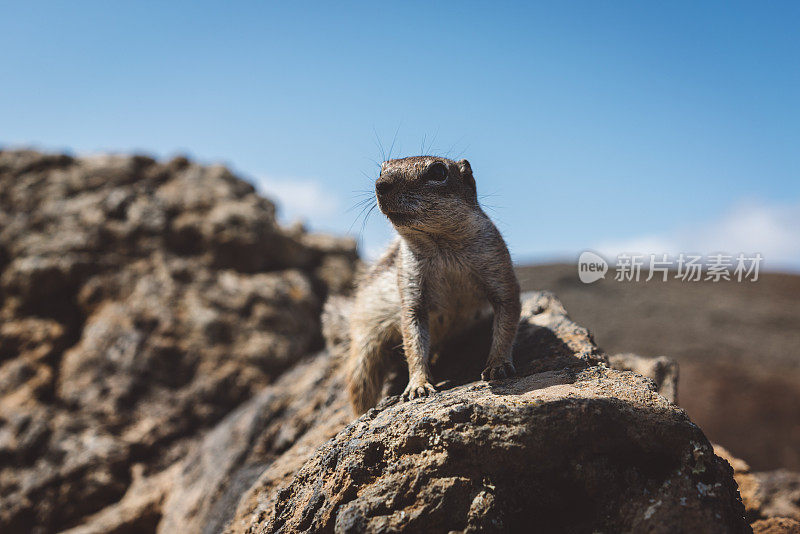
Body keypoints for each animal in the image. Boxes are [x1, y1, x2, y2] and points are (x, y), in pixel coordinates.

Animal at [322, 155, 520, 414]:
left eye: (438, 171)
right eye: (381, 170)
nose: (380, 184)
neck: (440, 244)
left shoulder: (497, 262)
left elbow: (506, 317)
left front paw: (498, 364)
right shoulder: (410, 286)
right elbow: (413, 339)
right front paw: (418, 385)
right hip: (364, 347)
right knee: (361, 385)